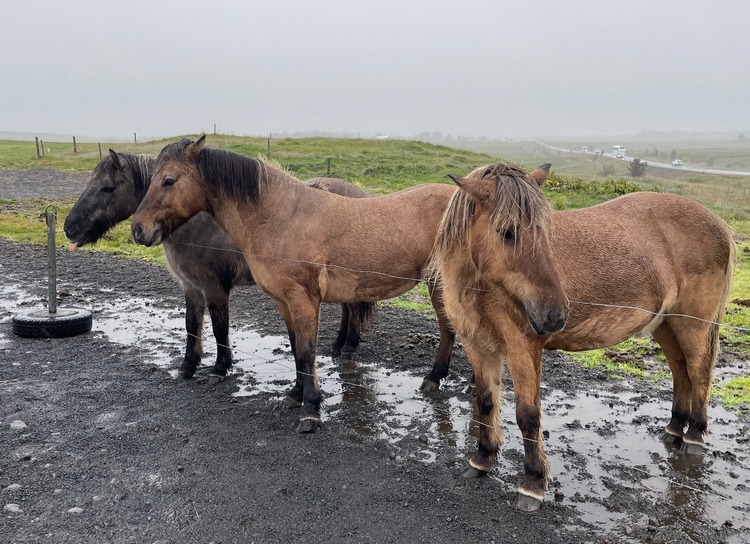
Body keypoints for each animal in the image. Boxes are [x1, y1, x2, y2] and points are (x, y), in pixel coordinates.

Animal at [64, 149, 373, 379]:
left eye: (107, 187)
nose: (69, 228)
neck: (196, 218)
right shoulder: (191, 287)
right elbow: (191, 324)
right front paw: (188, 366)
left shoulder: (214, 287)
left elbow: (219, 326)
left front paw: (221, 366)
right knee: (348, 306)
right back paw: (339, 345)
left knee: (352, 308)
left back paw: (348, 346)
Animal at [131, 135, 460, 432]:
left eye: (169, 181)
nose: (138, 229)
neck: (281, 218)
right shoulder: (283, 301)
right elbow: (294, 349)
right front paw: (295, 395)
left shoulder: (303, 300)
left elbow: (305, 351)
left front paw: (311, 409)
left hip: (442, 285)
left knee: (449, 330)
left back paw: (434, 378)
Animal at [432, 162, 735, 511]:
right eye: (507, 232)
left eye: (545, 232)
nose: (554, 314)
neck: (483, 288)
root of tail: (718, 223)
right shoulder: (478, 346)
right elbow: (485, 403)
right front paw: (482, 459)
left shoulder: (522, 347)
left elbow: (528, 415)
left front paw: (532, 483)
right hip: (666, 326)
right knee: (680, 372)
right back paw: (674, 429)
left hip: (693, 325)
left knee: (699, 373)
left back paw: (694, 437)